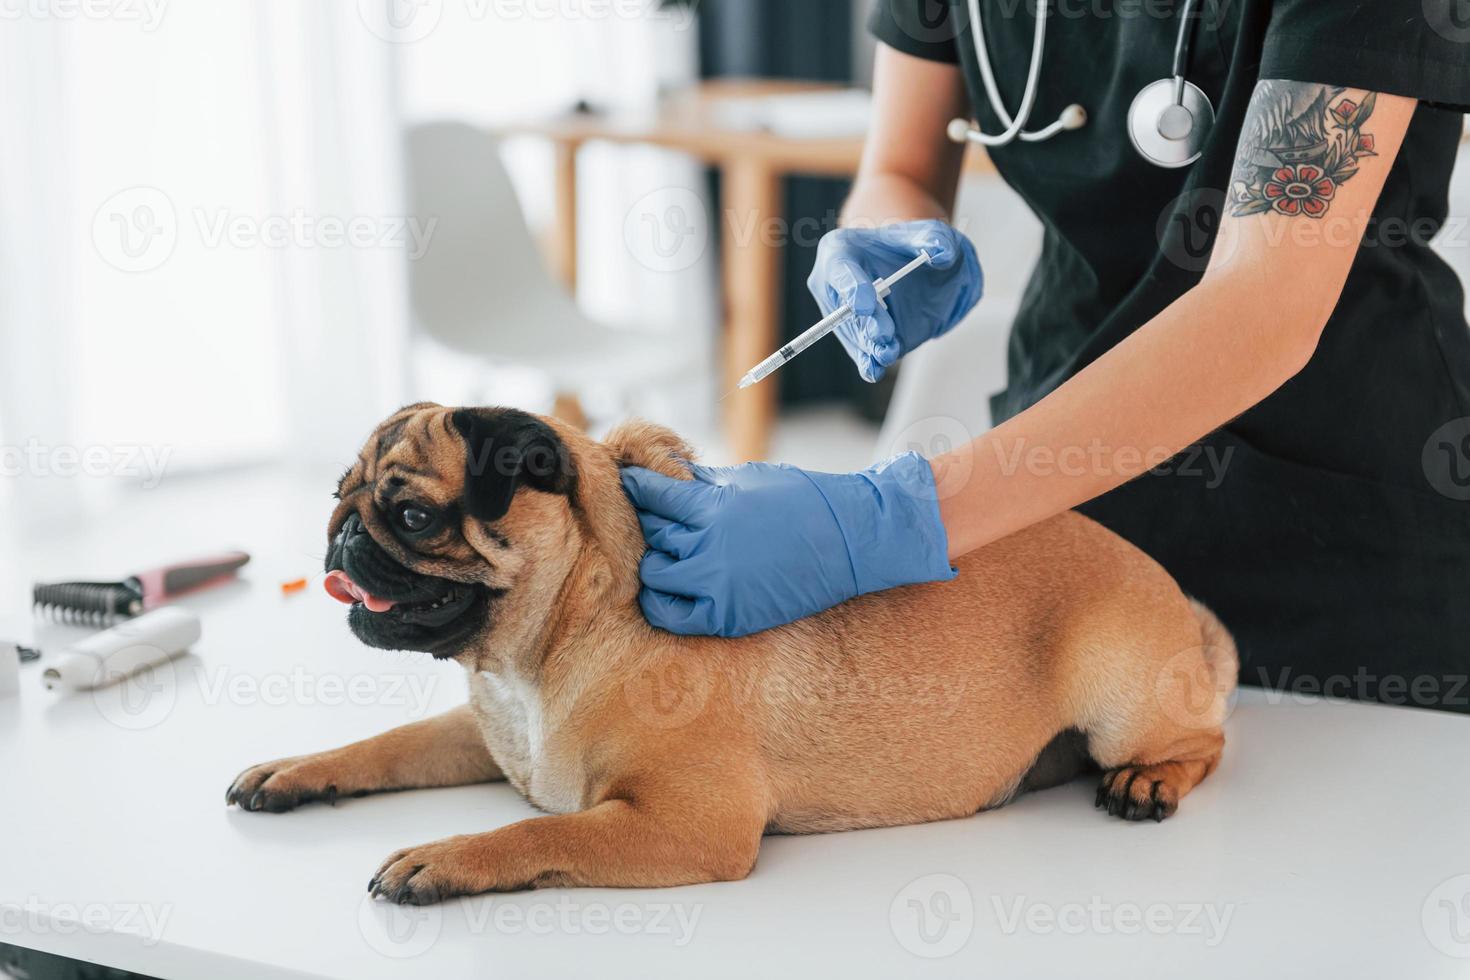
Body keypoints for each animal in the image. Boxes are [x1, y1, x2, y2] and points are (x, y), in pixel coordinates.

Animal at [226, 405, 1240, 905]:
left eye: (410, 515)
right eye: (340, 493)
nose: (341, 535)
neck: (544, 650)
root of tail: (1187, 615)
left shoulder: (684, 824)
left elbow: (537, 833)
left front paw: (445, 857)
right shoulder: (482, 735)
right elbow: (386, 744)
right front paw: (296, 769)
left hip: (1123, 698)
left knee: (1207, 744)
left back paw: (1150, 780)